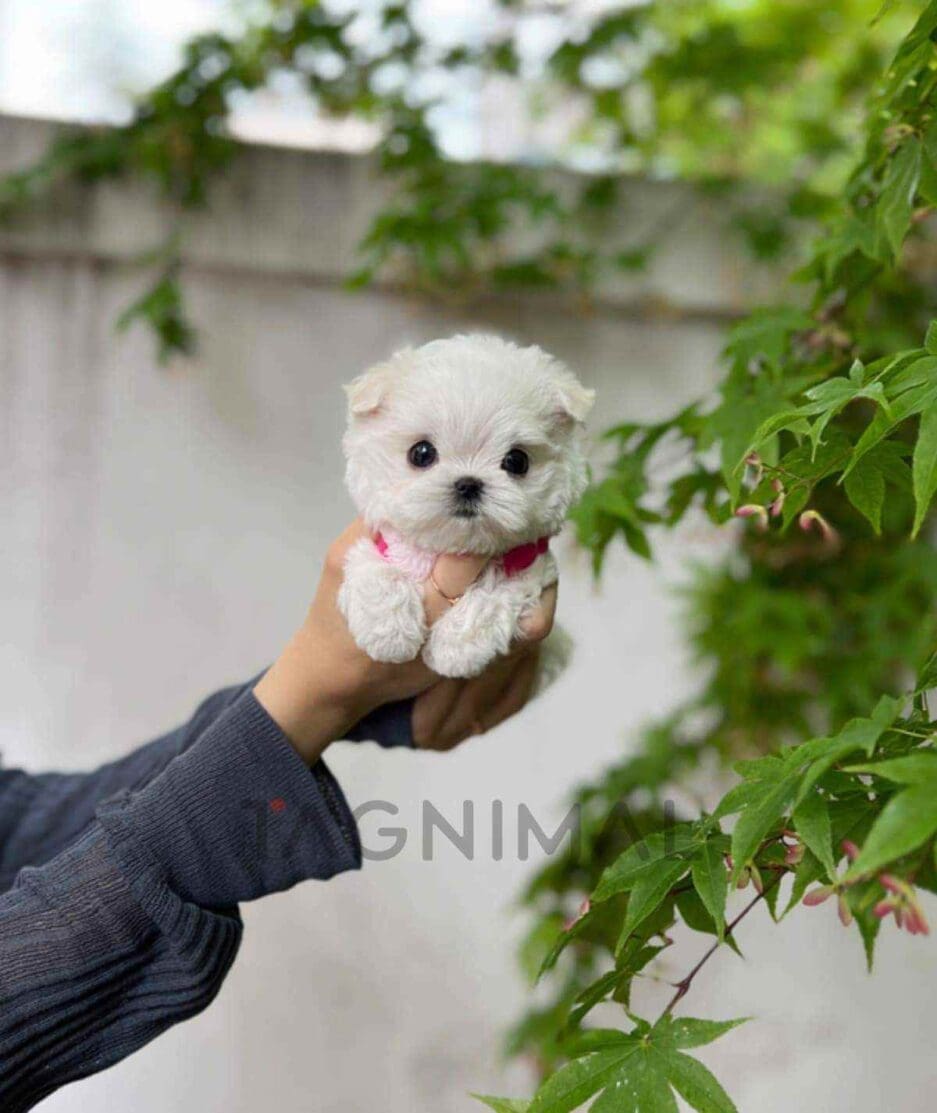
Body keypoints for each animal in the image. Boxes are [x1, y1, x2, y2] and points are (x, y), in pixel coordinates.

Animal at [340, 331, 596, 676]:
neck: (457, 548)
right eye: (421, 453)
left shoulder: (529, 566)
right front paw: (389, 634)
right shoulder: (381, 545)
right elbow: (378, 571)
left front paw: (455, 651)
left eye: (517, 461)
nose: (468, 484)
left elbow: (493, 595)